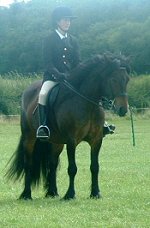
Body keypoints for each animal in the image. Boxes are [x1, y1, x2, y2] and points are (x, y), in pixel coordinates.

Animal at [6, 53, 129, 200]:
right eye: (114, 80)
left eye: (127, 80)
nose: (123, 109)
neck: (87, 104)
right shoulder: (71, 141)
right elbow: (72, 168)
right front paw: (70, 194)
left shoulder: (96, 140)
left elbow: (95, 167)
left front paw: (95, 193)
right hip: (29, 137)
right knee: (28, 164)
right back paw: (26, 194)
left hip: (56, 142)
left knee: (52, 164)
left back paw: (52, 192)